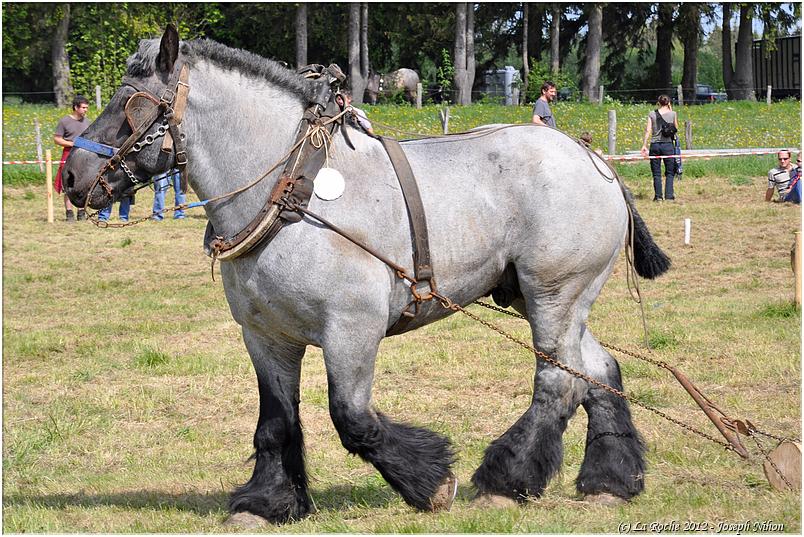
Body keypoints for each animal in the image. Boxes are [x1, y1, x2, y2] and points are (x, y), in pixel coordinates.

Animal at [62, 27, 668, 524]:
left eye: (133, 105)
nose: (70, 175)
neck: (292, 194)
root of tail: (593, 159)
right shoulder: (265, 336)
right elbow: (276, 421)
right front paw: (267, 502)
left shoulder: (352, 330)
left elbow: (352, 419)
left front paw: (431, 483)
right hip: (537, 296)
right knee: (598, 370)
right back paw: (611, 479)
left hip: (554, 294)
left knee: (558, 382)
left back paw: (507, 479)